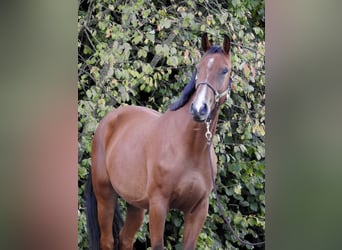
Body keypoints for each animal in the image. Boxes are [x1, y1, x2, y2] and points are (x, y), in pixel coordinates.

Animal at [86, 33, 232, 250]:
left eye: (224, 70)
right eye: (198, 68)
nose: (199, 109)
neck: (190, 149)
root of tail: (106, 123)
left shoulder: (198, 211)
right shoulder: (158, 205)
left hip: (136, 205)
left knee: (126, 238)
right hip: (105, 195)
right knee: (108, 240)